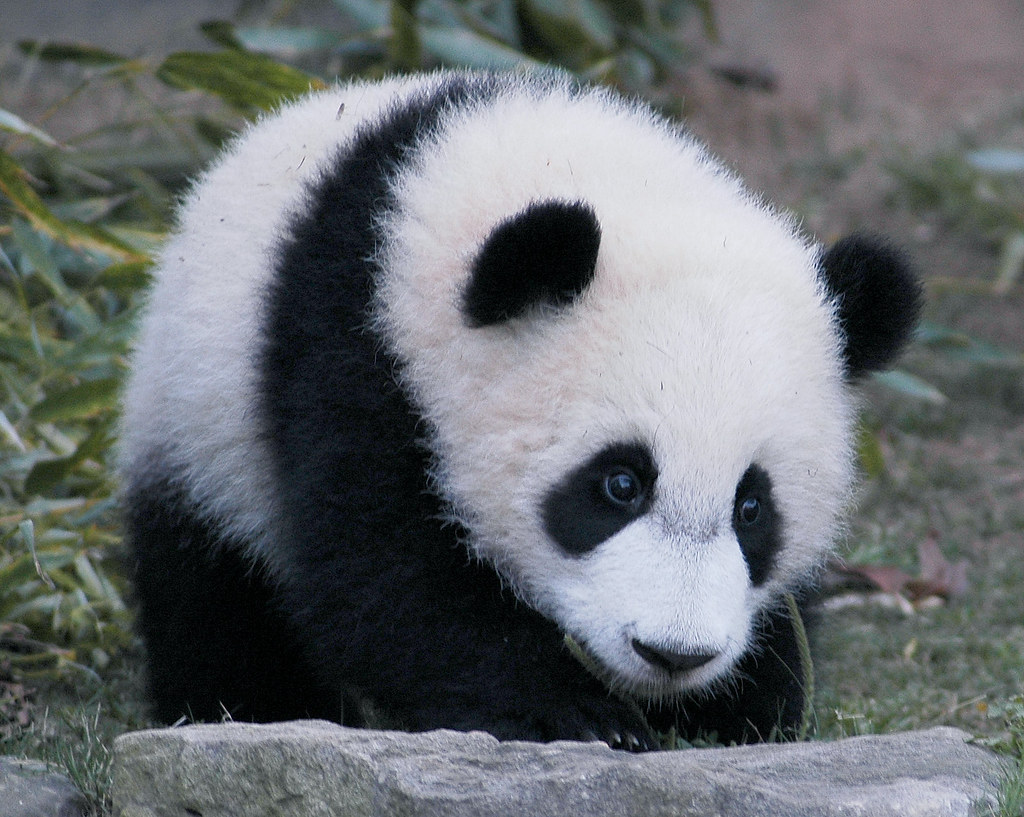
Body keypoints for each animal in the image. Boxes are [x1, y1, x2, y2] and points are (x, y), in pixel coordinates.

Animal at [119, 67, 921, 753]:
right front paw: (569, 711)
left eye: (753, 506)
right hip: (198, 422)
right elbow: (382, 577)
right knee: (215, 591)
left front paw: (743, 709)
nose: (672, 653)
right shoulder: (357, 349)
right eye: (619, 483)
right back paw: (249, 707)